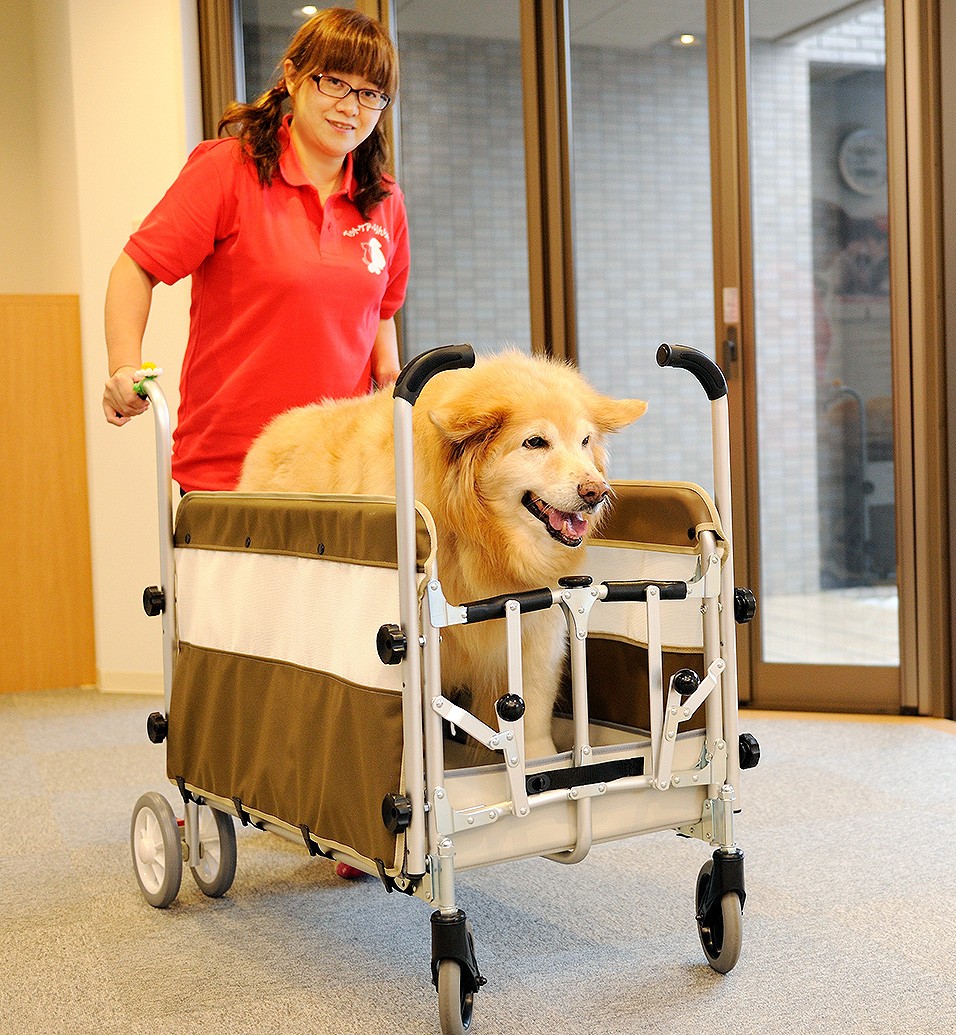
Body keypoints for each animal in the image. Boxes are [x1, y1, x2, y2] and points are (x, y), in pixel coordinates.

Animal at [236, 351, 649, 765]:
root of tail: (267, 434)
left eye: (585, 441)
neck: (477, 539)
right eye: (535, 442)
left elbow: (532, 730)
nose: (597, 491)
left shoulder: (536, 641)